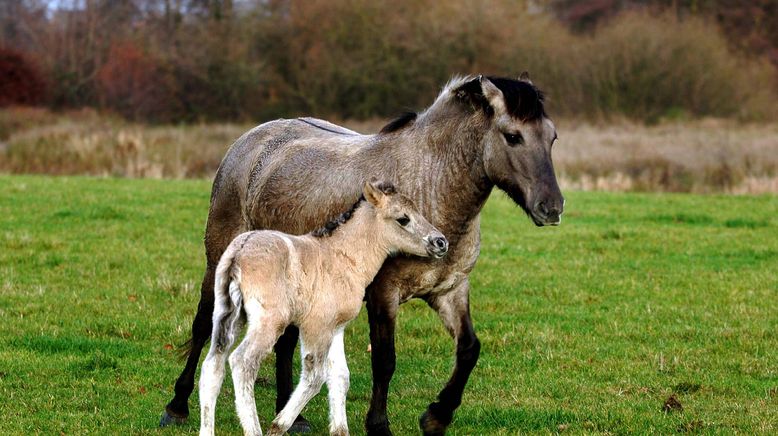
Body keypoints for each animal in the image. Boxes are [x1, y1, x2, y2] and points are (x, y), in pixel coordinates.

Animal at [197, 180, 446, 436]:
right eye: (403, 219)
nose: (441, 242)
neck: (342, 257)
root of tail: (239, 252)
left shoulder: (336, 327)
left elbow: (340, 376)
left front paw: (339, 430)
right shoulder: (317, 326)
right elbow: (315, 377)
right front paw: (279, 425)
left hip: (227, 316)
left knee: (212, 366)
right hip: (269, 322)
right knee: (242, 362)